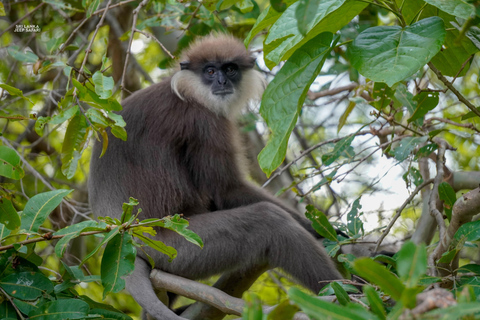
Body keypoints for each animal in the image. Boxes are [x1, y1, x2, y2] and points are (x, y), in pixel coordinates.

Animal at [88, 33, 344, 318]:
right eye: (210, 71)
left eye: (230, 69)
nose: (222, 81)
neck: (188, 91)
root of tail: (123, 234)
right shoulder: (204, 120)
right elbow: (227, 190)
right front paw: (317, 228)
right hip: (179, 250)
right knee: (269, 220)